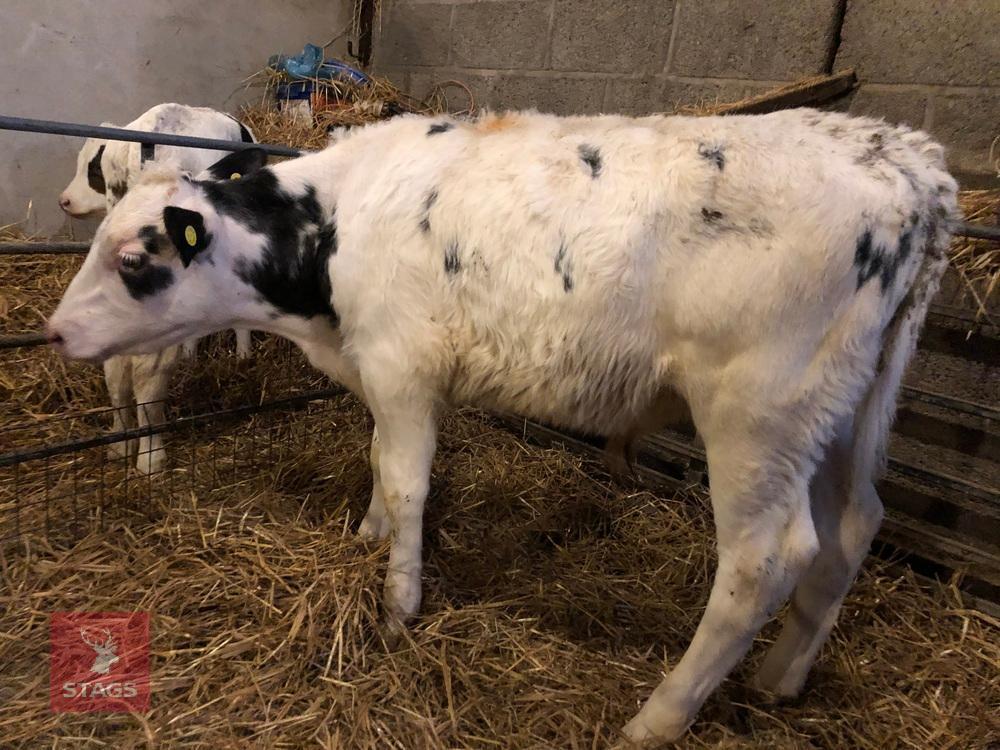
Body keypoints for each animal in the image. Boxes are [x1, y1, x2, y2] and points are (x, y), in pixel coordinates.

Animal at [58, 103, 258, 473]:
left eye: (90, 169)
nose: (64, 201)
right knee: (146, 368)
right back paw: (151, 454)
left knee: (119, 365)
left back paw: (121, 444)